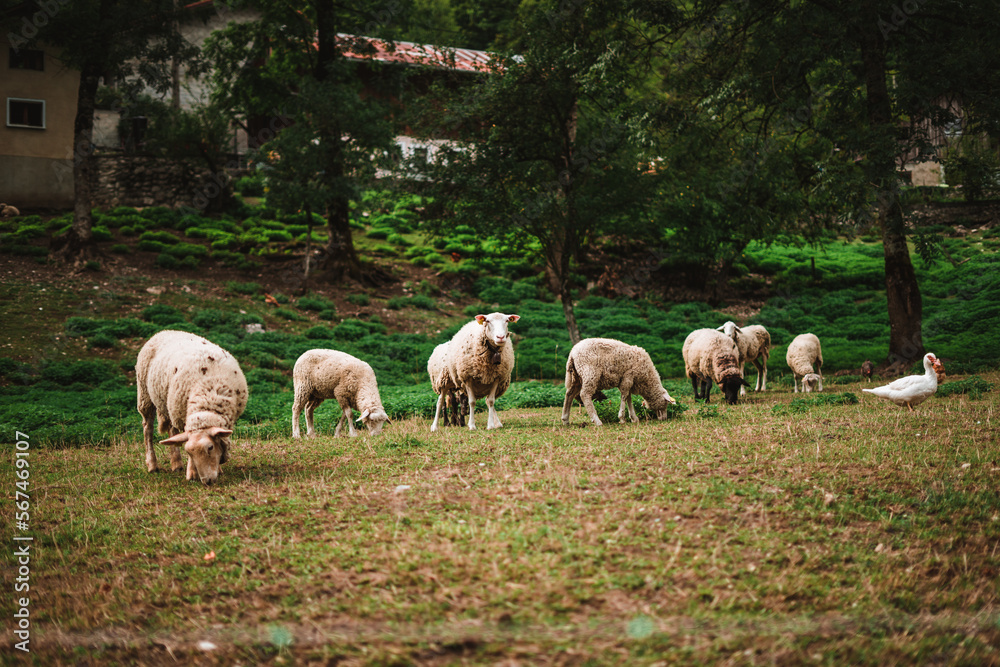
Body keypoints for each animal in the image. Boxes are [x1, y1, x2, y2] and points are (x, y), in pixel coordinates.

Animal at [137, 328, 248, 486]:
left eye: (210, 447)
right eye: (189, 452)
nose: (207, 481)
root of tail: (165, 331)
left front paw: (219, 469)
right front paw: (192, 473)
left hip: (170, 404)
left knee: (172, 430)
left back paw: (176, 464)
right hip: (145, 395)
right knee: (148, 429)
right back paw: (152, 465)